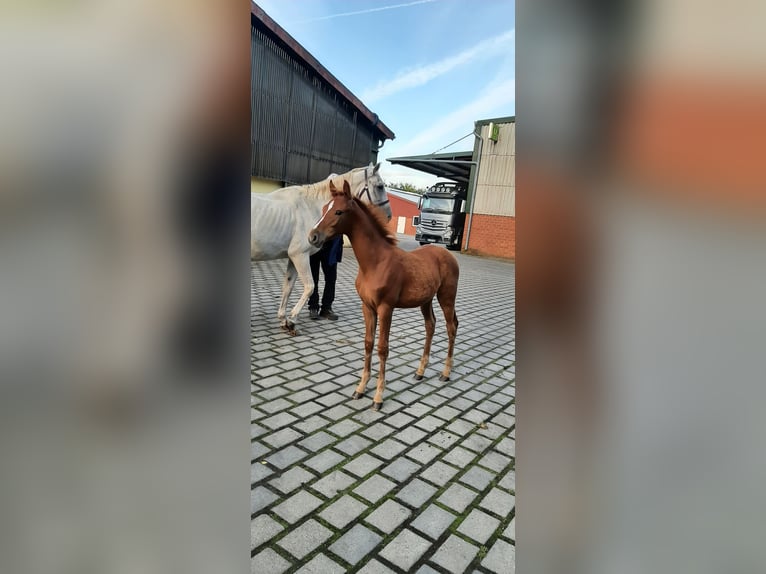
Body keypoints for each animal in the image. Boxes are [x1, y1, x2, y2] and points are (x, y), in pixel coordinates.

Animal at [252, 164, 392, 336]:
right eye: (380, 186)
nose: (388, 216)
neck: (308, 205)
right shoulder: (300, 255)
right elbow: (310, 286)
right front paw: (292, 320)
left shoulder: (293, 258)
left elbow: (288, 287)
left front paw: (284, 320)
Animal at [308, 180, 462, 410]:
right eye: (325, 207)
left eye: (338, 211)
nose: (313, 236)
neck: (375, 263)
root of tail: (448, 254)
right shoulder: (367, 307)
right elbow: (368, 343)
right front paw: (360, 388)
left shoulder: (386, 308)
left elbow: (382, 348)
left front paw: (378, 397)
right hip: (426, 300)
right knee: (431, 325)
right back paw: (420, 372)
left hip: (446, 297)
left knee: (451, 327)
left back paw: (445, 373)